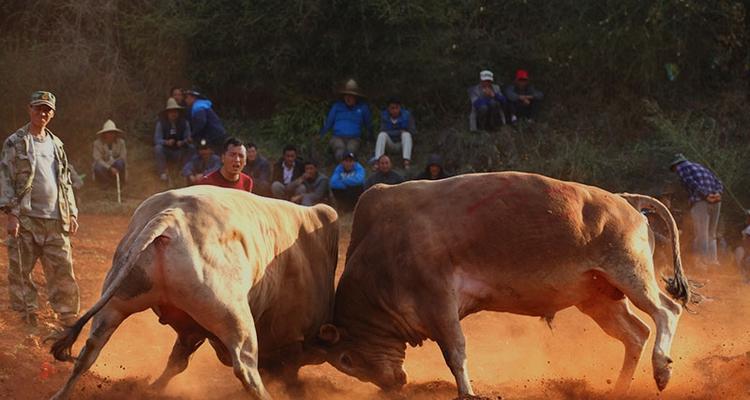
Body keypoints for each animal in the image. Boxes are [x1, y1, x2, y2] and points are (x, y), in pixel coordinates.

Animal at [48, 187, 340, 400]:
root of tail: (172, 215)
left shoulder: (192, 329)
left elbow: (178, 362)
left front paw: (152, 389)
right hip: (234, 317)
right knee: (245, 368)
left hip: (117, 302)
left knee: (88, 352)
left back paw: (60, 394)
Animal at [320, 173, 692, 398]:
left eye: (346, 359)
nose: (392, 384)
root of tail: (625, 200)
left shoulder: (438, 299)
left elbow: (455, 351)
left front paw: (468, 392)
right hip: (599, 297)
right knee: (636, 334)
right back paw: (619, 389)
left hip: (632, 274)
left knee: (667, 311)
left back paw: (662, 369)